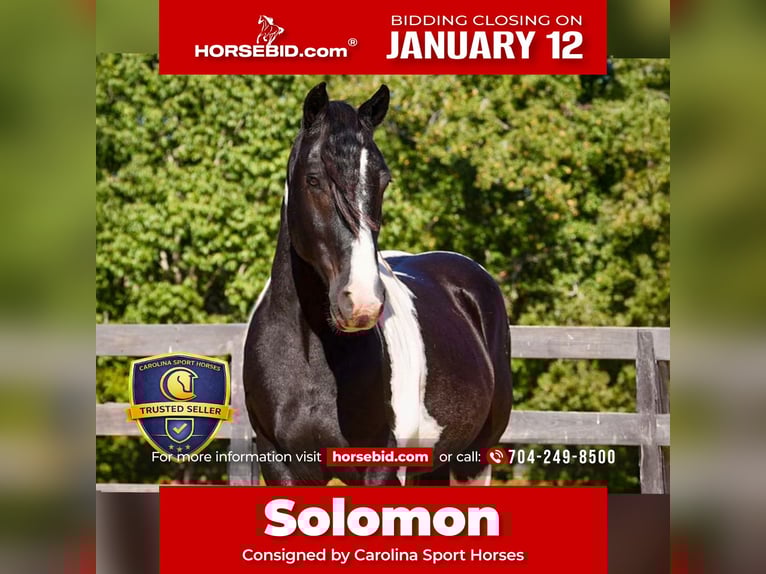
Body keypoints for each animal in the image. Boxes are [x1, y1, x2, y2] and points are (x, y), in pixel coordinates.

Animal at [242, 83, 512, 486]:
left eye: (383, 181)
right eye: (313, 179)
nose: (361, 303)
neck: (309, 357)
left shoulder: (380, 469)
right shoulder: (279, 465)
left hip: (473, 459)